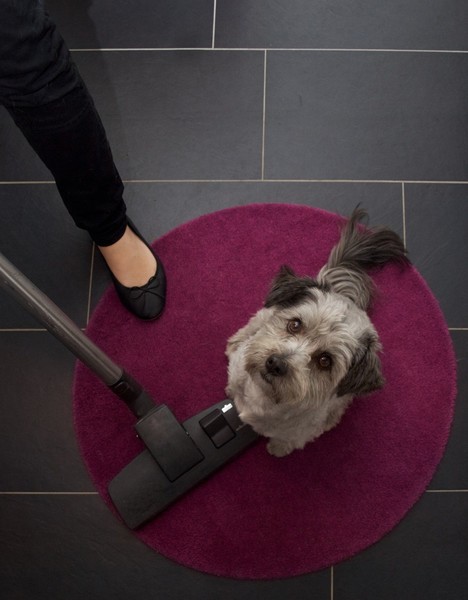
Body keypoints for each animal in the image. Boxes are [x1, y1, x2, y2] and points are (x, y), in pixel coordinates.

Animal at [225, 209, 408, 458]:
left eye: (325, 360)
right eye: (295, 324)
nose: (275, 363)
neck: (265, 397)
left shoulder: (297, 433)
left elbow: (286, 441)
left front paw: (277, 449)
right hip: (264, 313)